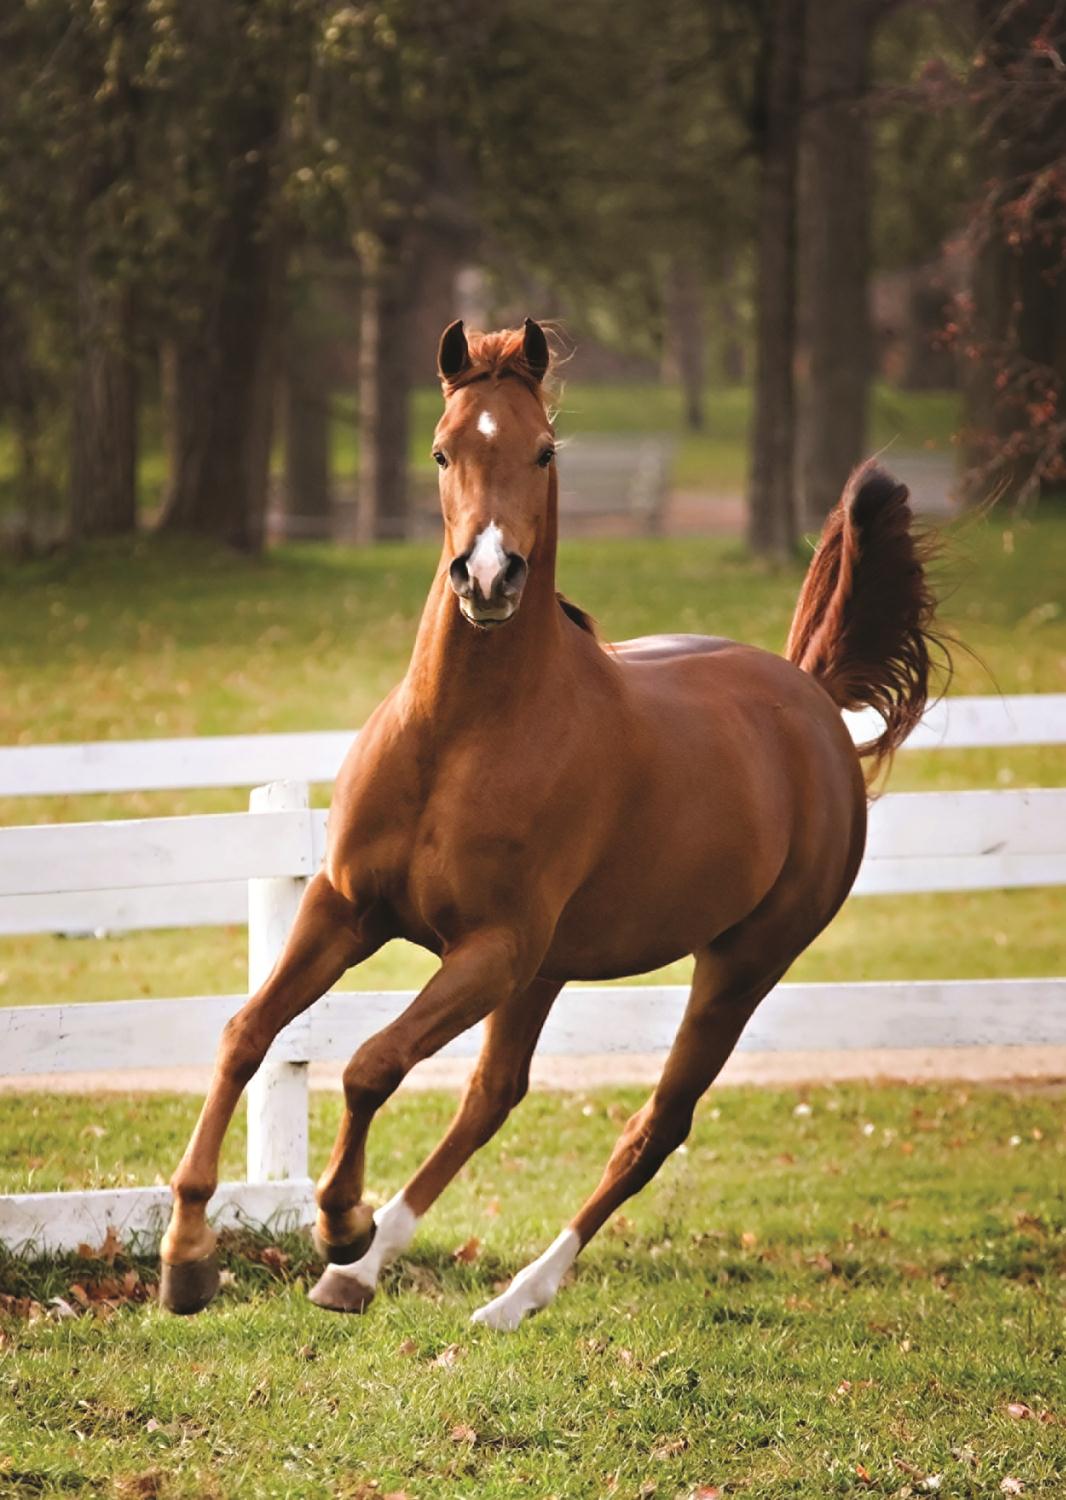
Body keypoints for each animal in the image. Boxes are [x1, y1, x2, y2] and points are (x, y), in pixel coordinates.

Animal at [159, 317, 941, 1329]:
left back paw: (510, 1295)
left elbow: (372, 1063)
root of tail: (810, 698)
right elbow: (247, 1035)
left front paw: (338, 1218)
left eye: (543, 450)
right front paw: (188, 1255)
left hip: (738, 964)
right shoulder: (345, 908)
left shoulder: (491, 947)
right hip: (551, 968)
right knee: (494, 1095)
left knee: (654, 1128)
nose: (489, 577)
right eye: (443, 448)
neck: (460, 734)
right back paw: (363, 1273)